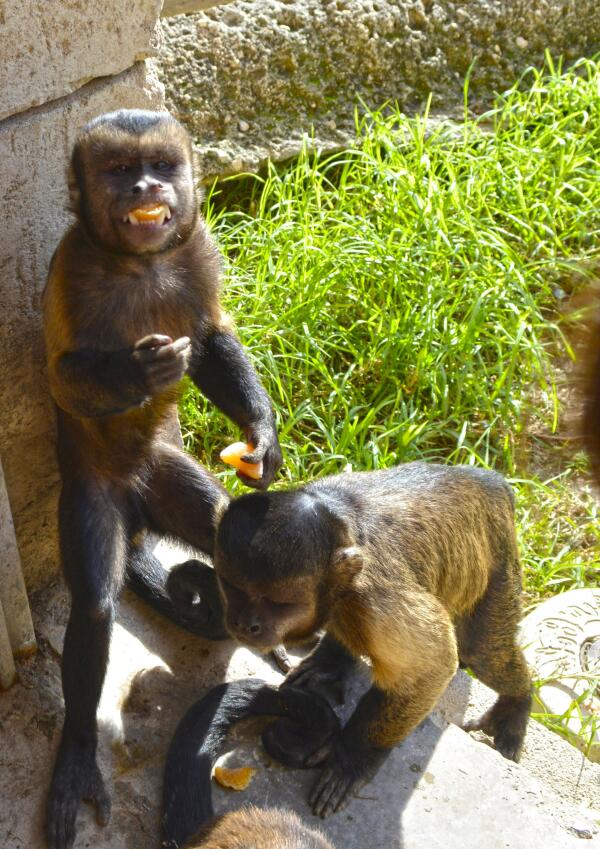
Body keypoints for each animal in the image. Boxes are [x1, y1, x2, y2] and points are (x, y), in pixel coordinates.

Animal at [212, 460, 536, 820]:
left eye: (279, 603)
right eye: (232, 587)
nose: (246, 623)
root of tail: (489, 480)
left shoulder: (374, 595)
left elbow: (432, 665)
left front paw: (354, 756)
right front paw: (332, 661)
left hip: (501, 563)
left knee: (480, 651)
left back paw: (519, 701)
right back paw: (332, 659)